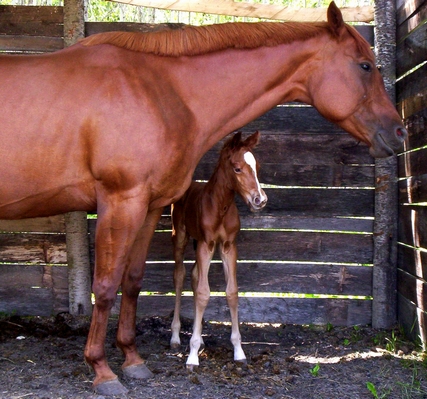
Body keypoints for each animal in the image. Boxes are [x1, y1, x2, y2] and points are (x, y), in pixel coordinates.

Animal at [171, 133, 268, 370]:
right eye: (237, 168)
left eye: (257, 166)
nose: (260, 200)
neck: (220, 206)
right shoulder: (206, 244)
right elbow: (204, 293)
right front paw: (192, 356)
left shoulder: (228, 246)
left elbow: (231, 292)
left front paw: (239, 351)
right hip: (181, 237)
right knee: (180, 276)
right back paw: (176, 337)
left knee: (195, 276)